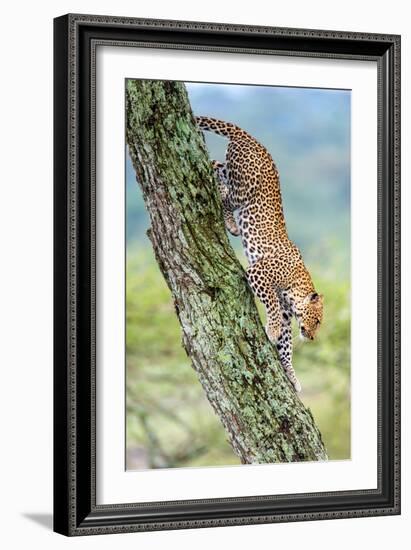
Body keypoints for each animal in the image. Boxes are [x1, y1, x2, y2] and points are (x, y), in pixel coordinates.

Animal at [196, 116, 326, 394]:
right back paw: (231, 223)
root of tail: (253, 139)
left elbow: (286, 346)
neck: (297, 285)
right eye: (319, 321)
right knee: (225, 194)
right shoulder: (259, 274)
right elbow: (273, 306)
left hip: (232, 169)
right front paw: (272, 330)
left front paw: (291, 375)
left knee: (216, 166)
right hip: (244, 187)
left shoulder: (289, 314)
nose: (311, 337)